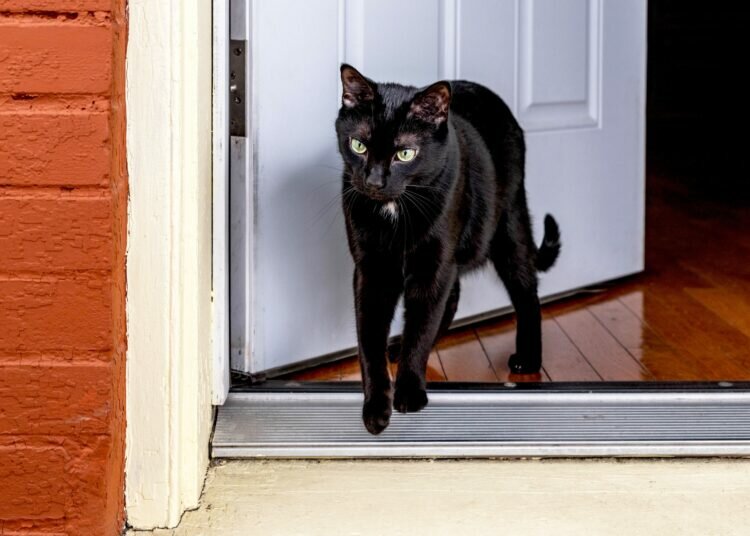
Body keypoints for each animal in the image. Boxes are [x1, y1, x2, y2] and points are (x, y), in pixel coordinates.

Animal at [338, 66, 560, 436]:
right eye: (358, 145)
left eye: (405, 153)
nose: (373, 182)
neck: (394, 210)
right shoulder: (371, 271)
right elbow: (369, 339)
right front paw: (375, 409)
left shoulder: (434, 265)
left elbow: (422, 326)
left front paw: (409, 393)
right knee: (452, 297)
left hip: (508, 225)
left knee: (526, 292)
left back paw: (528, 359)